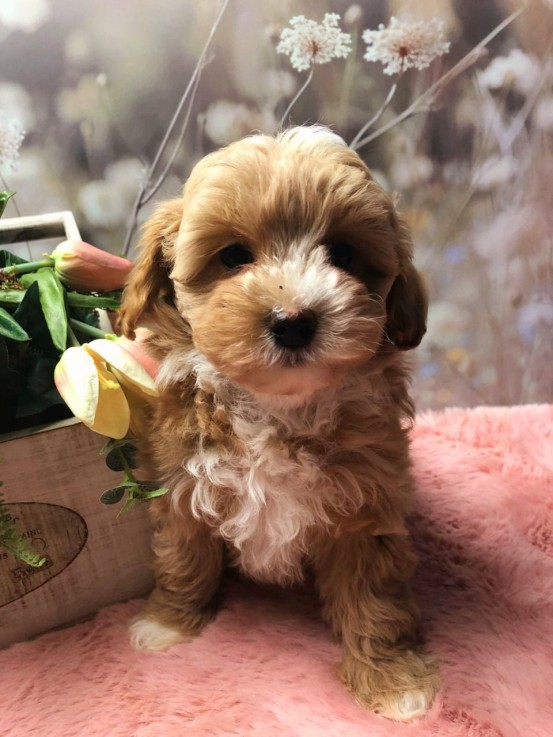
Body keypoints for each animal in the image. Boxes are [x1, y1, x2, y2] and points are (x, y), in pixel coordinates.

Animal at [118, 125, 438, 720]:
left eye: (343, 253)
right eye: (233, 257)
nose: (292, 322)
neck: (276, 410)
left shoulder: (367, 508)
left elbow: (374, 600)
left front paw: (392, 679)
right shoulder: (182, 483)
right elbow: (184, 555)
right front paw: (167, 623)